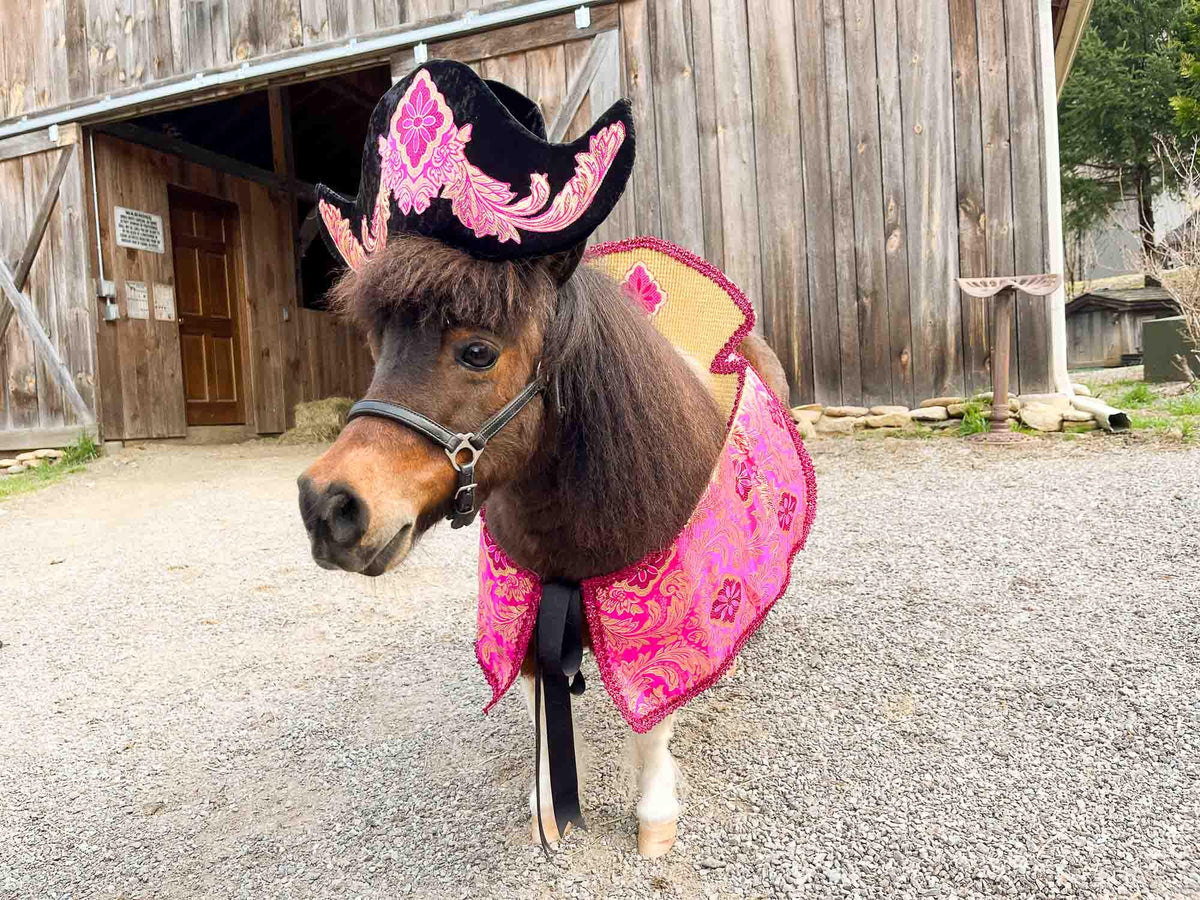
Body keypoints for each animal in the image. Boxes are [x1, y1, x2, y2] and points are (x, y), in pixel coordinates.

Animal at [297, 232, 792, 856]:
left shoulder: (656, 627)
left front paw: (655, 816)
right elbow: (542, 710)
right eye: (378, 344)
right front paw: (548, 810)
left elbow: (652, 724)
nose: (327, 506)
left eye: (478, 352)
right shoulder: (527, 609)